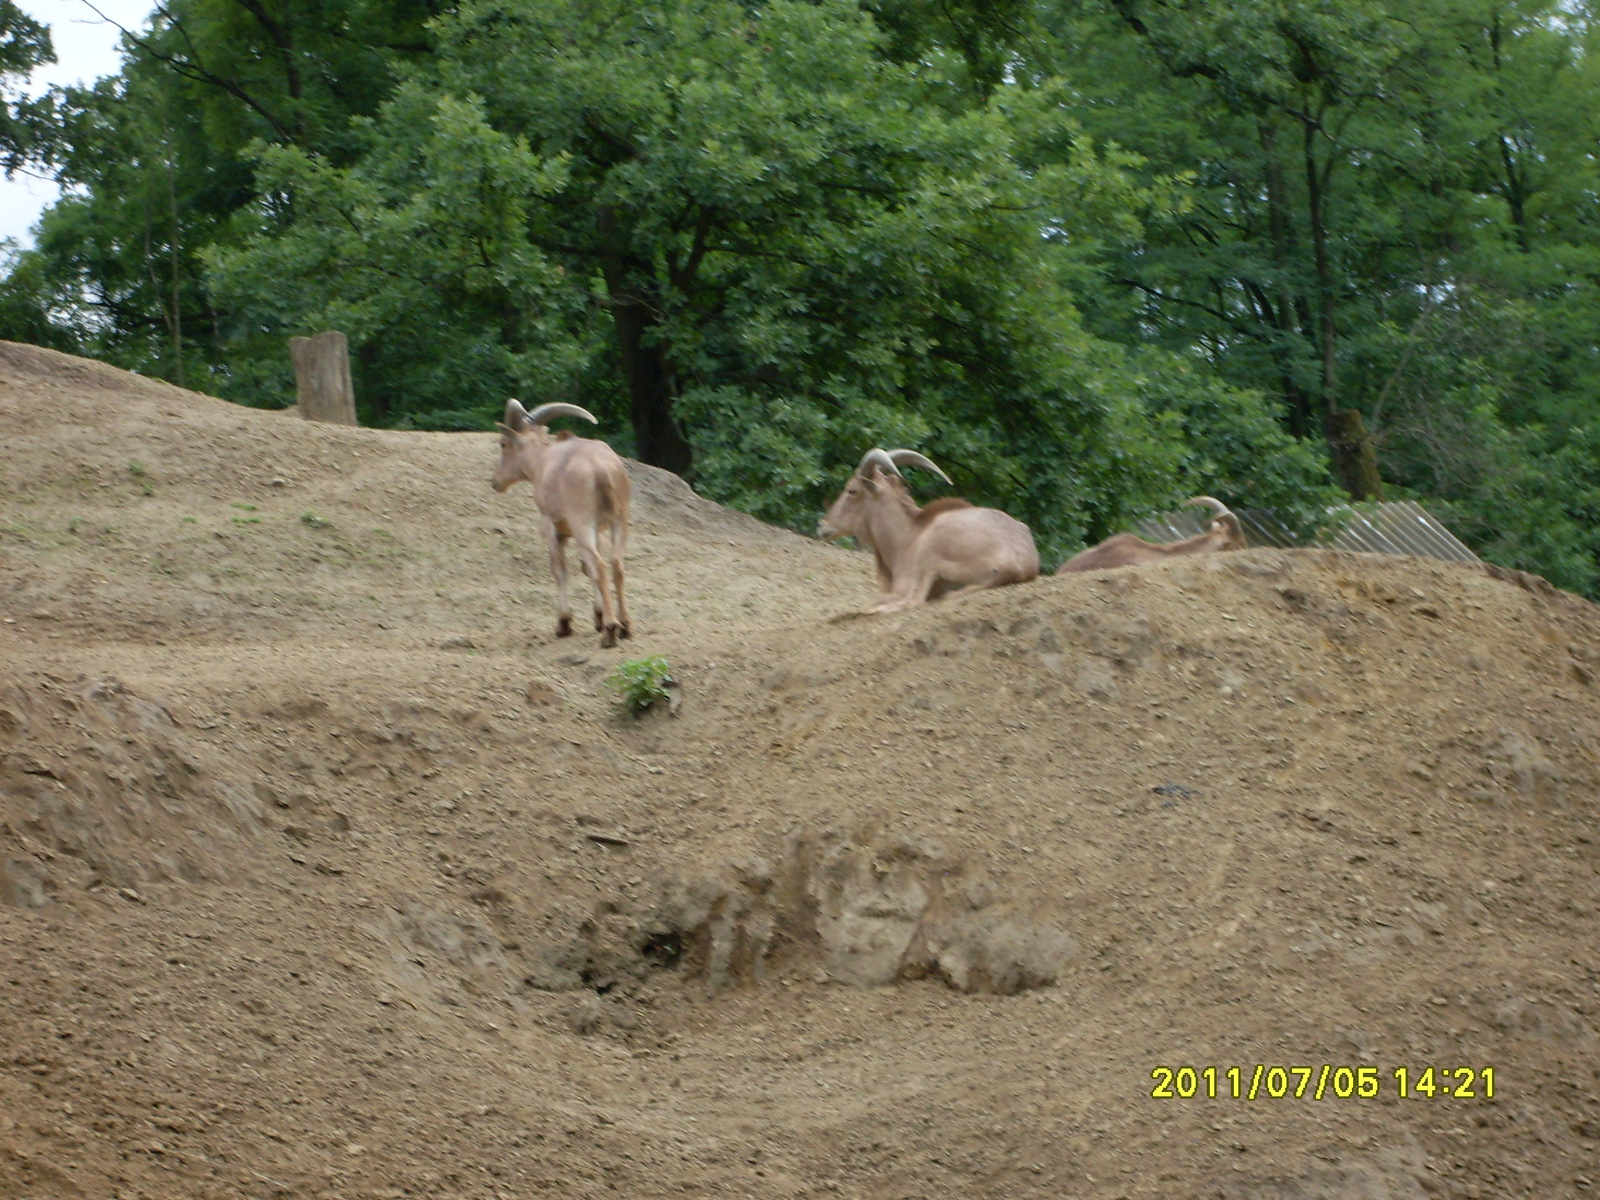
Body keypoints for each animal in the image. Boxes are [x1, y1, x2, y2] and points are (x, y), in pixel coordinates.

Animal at [492, 400, 630, 649]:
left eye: (503, 443)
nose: (495, 481)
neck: (541, 461)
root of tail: (600, 468)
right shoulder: (594, 531)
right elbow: (586, 569)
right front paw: (597, 617)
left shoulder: (553, 527)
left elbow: (560, 570)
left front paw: (564, 624)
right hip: (618, 522)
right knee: (616, 565)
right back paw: (625, 626)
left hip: (583, 523)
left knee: (601, 566)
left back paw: (610, 631)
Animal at [819, 448, 1043, 614]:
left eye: (852, 490)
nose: (822, 525)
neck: (909, 536)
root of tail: (1017, 564)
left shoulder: (907, 581)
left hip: (930, 557)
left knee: (912, 601)